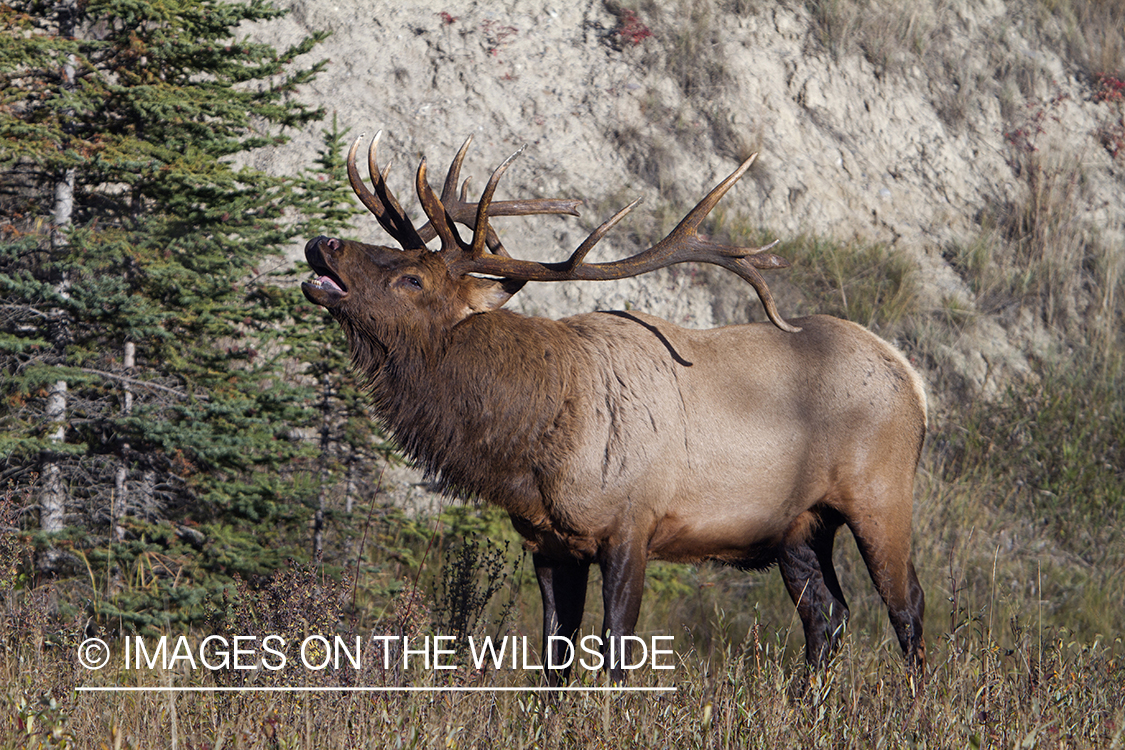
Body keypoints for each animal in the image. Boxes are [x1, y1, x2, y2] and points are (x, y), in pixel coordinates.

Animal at [303, 132, 927, 683]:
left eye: (413, 279)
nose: (323, 243)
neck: (536, 449)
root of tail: (914, 379)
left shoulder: (633, 524)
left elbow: (617, 654)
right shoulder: (549, 542)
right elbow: (554, 660)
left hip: (881, 495)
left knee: (907, 606)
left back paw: (914, 706)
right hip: (800, 525)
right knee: (827, 616)